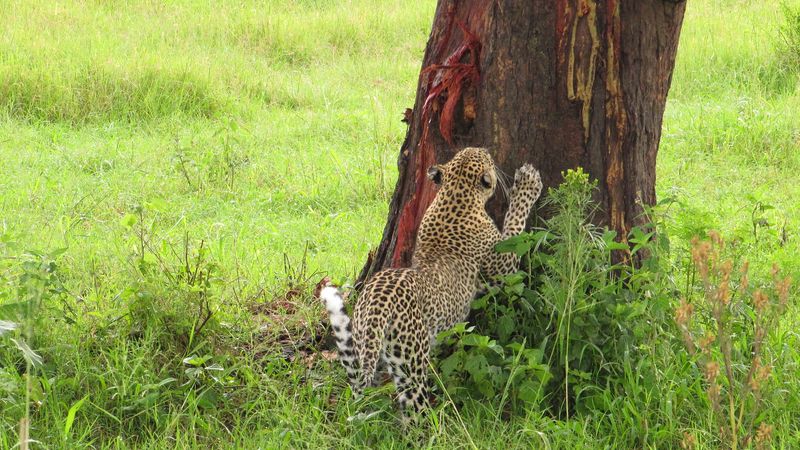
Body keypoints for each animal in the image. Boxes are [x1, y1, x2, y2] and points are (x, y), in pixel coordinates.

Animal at [318, 147, 544, 418]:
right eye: (486, 158)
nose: (485, 149)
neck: (455, 196)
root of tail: (377, 305)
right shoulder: (502, 267)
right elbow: (515, 225)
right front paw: (528, 182)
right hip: (410, 362)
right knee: (414, 409)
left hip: (368, 345)